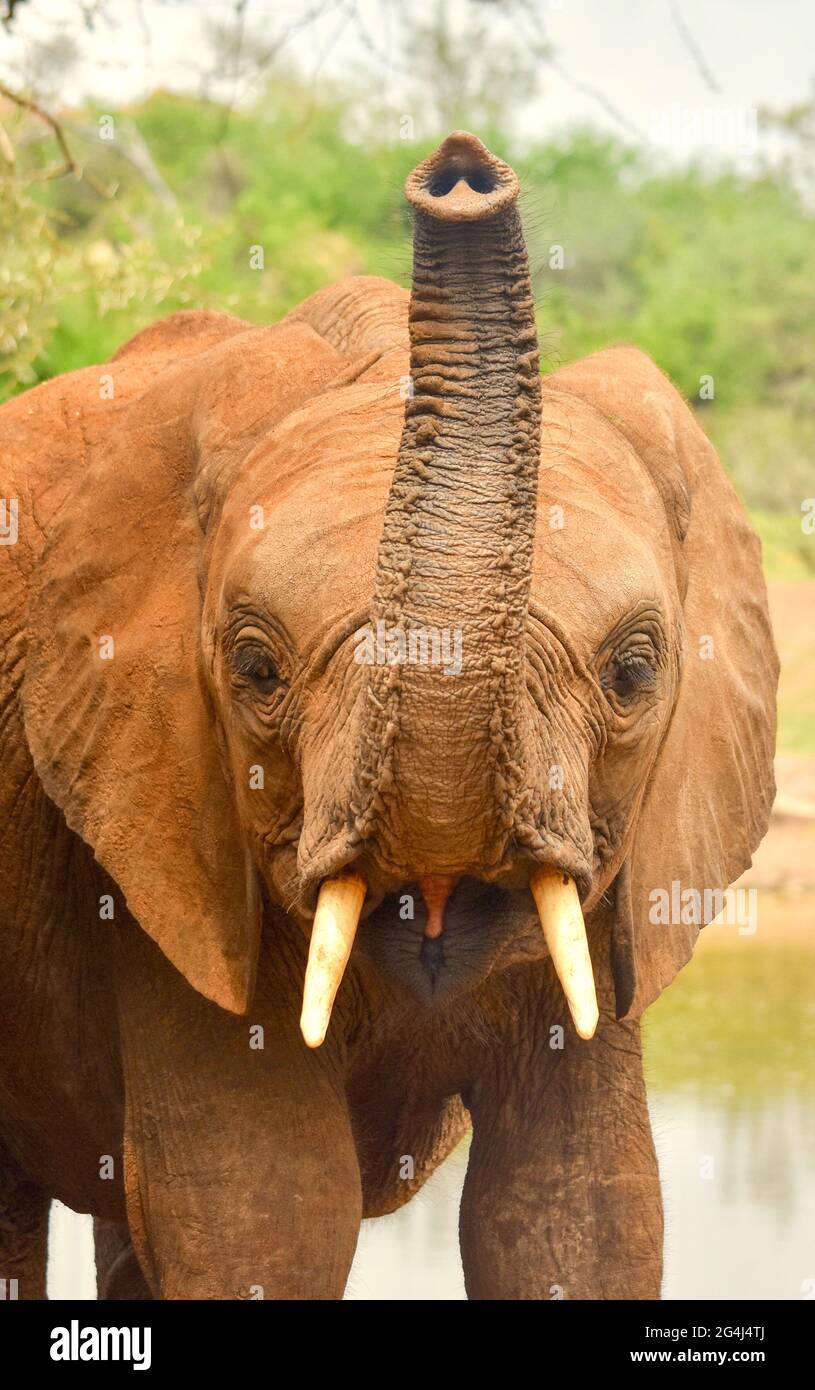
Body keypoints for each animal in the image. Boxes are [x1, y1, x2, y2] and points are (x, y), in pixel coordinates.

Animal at [0, 132, 773, 1301]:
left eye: (634, 671)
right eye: (255, 668)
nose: (460, 170)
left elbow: (574, 1209)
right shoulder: (163, 848)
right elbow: (266, 1210)